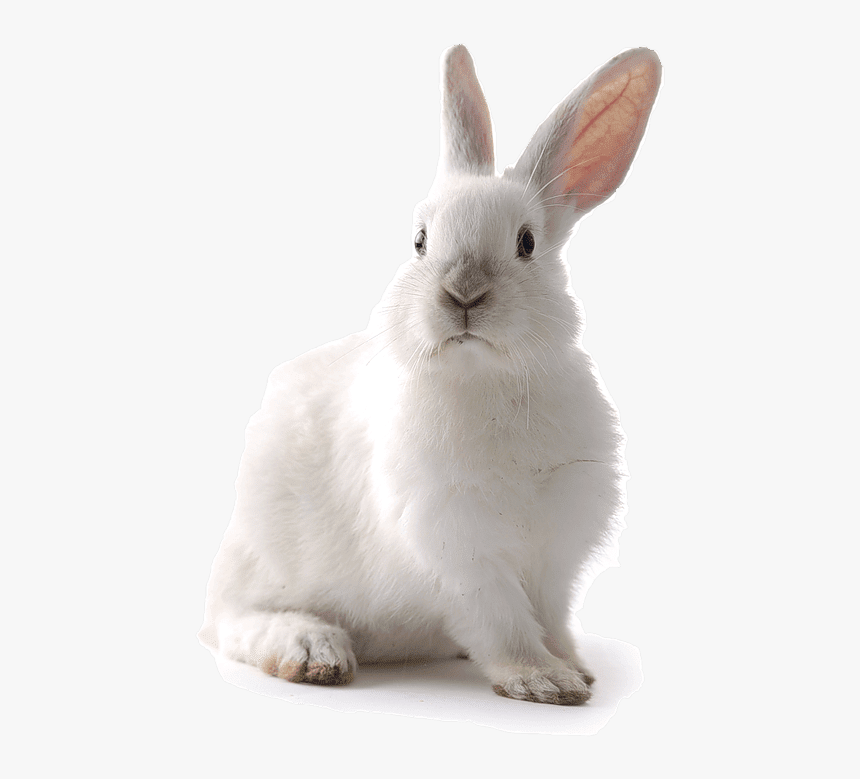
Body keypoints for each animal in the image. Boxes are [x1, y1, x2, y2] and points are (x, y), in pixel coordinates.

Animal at [199, 44, 661, 705]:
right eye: (419, 241)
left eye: (526, 243)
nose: (463, 292)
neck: (486, 379)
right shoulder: (458, 552)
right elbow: (502, 623)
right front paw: (543, 680)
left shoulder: (553, 557)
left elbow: (550, 617)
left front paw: (575, 666)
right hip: (262, 565)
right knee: (233, 622)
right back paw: (312, 650)